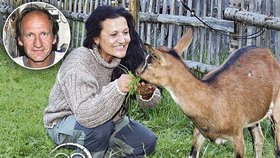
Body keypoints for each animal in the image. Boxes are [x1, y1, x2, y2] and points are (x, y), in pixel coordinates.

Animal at [136, 28, 280, 158]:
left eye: (149, 62)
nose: (136, 70)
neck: (211, 99)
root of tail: (268, 54)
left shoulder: (237, 135)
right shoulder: (199, 133)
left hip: (276, 111)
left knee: (276, 148)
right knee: (259, 138)